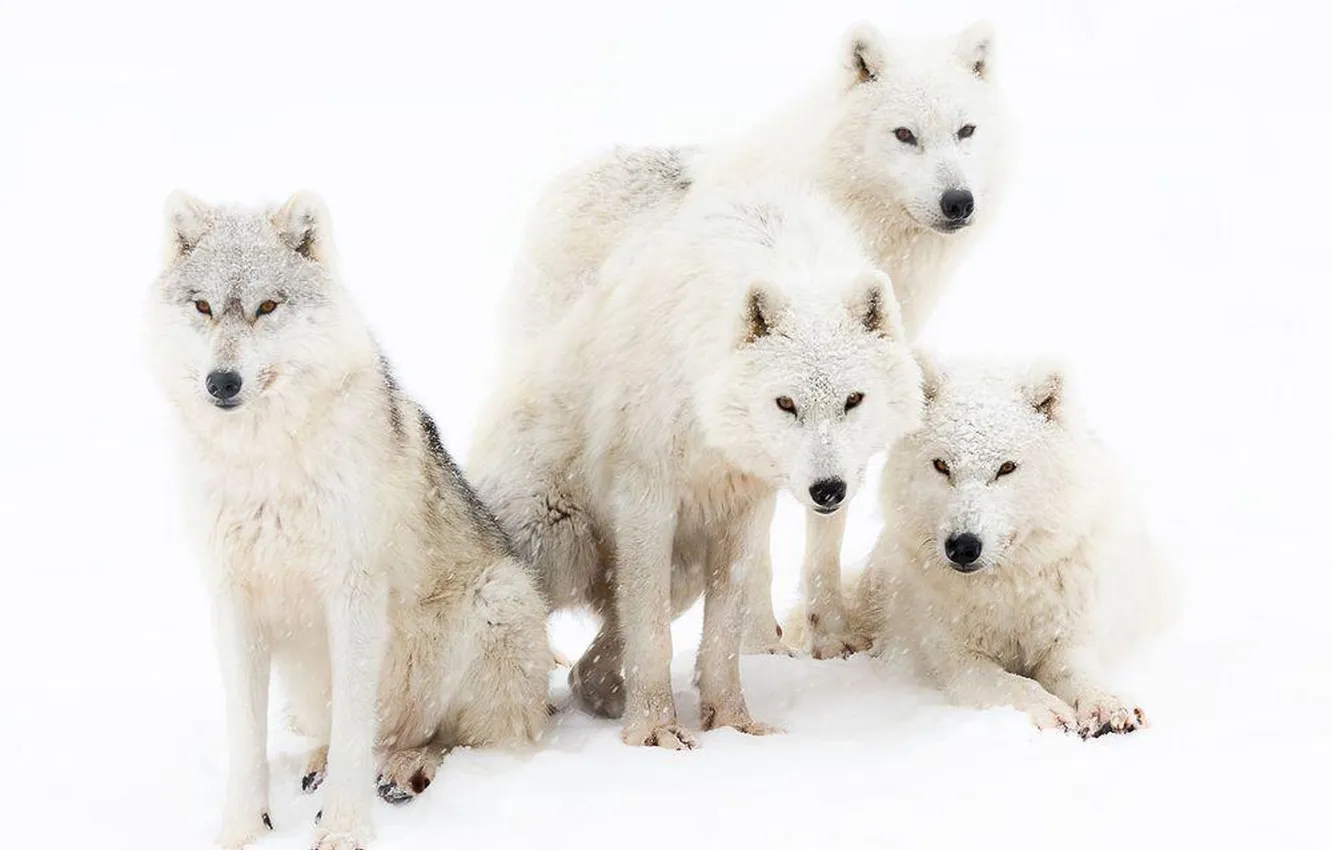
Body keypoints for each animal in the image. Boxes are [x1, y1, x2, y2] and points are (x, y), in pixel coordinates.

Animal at [144, 193, 550, 850]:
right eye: (202, 306)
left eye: (266, 306)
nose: (221, 382)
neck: (264, 465)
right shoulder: (232, 598)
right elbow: (245, 736)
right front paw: (243, 829)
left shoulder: (353, 591)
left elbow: (358, 728)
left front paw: (343, 828)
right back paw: (318, 763)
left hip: (495, 601)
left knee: (451, 739)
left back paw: (404, 767)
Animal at [468, 183, 924, 748]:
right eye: (785, 403)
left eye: (854, 400)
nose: (828, 490)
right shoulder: (646, 498)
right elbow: (652, 635)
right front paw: (655, 730)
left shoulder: (745, 509)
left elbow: (724, 635)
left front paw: (731, 721)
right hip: (555, 545)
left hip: (681, 570)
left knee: (586, 671)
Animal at [499, 21, 1008, 658]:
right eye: (905, 135)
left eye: (967, 131)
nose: (958, 202)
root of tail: (566, 179)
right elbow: (755, 544)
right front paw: (762, 640)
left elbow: (827, 528)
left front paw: (830, 633)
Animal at [842, 355, 1176, 737]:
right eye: (941, 466)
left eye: (1006, 468)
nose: (963, 546)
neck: (1008, 591)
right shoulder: (956, 658)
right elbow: (1011, 683)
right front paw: (1050, 711)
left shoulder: (1067, 638)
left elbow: (1079, 672)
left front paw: (1108, 705)